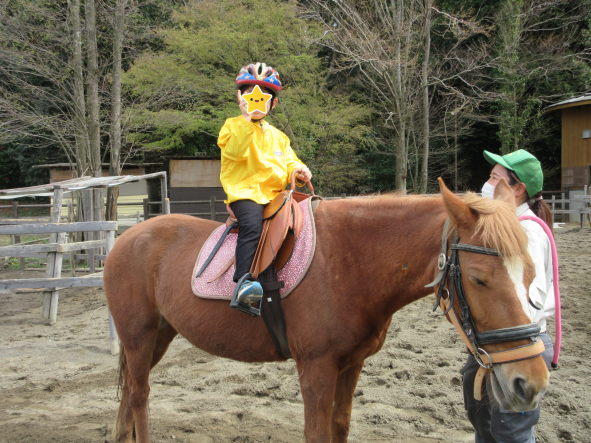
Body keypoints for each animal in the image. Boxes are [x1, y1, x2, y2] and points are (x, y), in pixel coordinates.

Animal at [104, 180, 552, 443]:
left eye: (532, 272)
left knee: (129, 394)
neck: (352, 260)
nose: (530, 382)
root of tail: (125, 237)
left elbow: (339, 426)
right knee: (140, 395)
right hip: (139, 337)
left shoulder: (350, 364)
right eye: (478, 279)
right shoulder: (316, 368)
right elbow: (317, 432)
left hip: (159, 335)